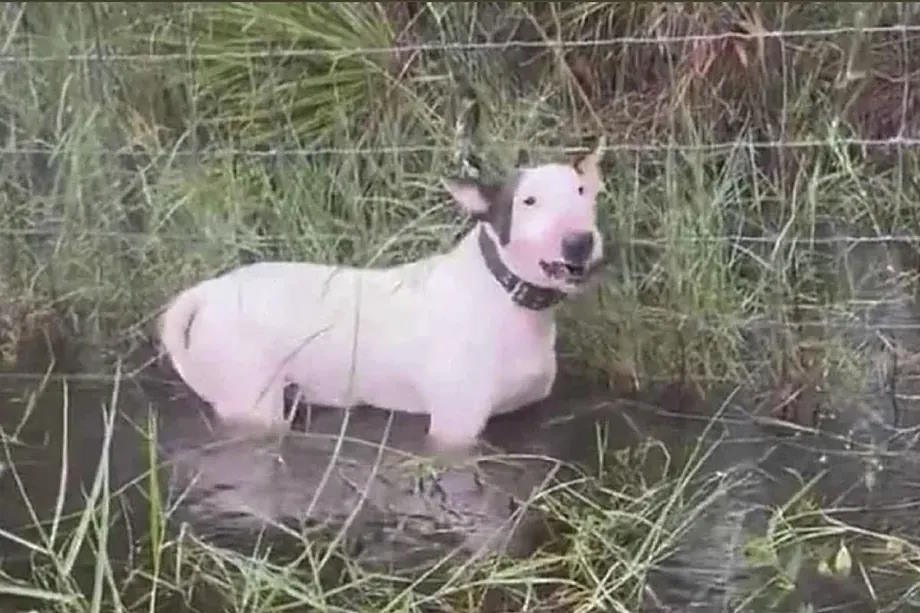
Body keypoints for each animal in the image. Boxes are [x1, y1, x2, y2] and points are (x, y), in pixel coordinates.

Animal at [155, 140, 608, 450]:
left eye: (583, 193)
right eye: (528, 201)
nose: (580, 242)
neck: (505, 295)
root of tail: (206, 292)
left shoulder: (526, 413)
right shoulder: (454, 430)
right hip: (253, 402)